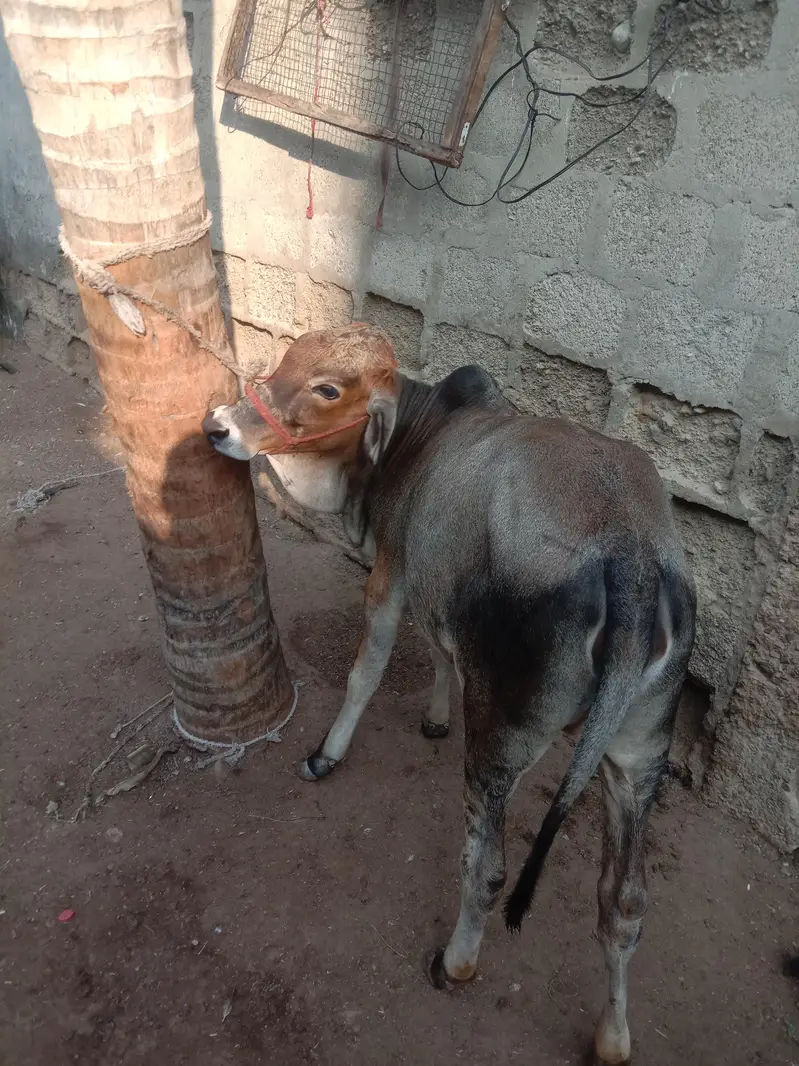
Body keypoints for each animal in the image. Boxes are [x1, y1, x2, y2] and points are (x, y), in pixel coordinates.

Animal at [202, 323, 696, 1065]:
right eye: (285, 361)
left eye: (328, 388)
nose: (219, 427)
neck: (420, 432)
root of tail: (631, 563)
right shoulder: (437, 587)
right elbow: (438, 650)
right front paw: (434, 716)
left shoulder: (392, 567)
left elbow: (368, 667)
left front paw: (327, 754)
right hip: (636, 756)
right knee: (624, 902)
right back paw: (612, 1035)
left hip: (501, 737)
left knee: (489, 870)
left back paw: (456, 961)